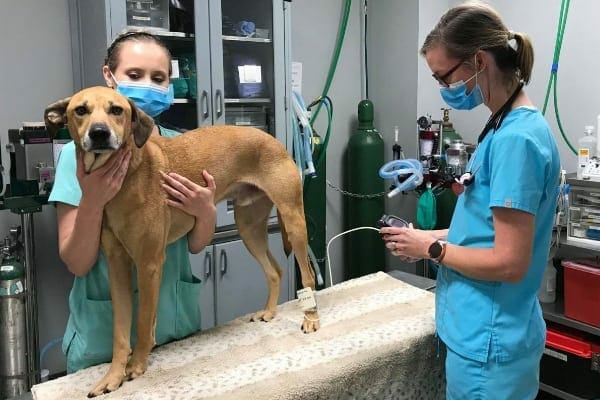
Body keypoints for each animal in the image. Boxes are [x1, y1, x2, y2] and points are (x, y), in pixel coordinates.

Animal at [44, 86, 322, 396]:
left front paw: (137, 365)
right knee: (275, 272)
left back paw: (311, 319)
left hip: (294, 221)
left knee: (308, 276)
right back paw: (270, 312)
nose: (100, 134)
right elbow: (120, 331)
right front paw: (113, 375)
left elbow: (143, 322)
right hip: (249, 228)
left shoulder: (149, 263)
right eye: (80, 110)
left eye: (116, 110)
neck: (125, 178)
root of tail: (274, 140)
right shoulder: (117, 266)